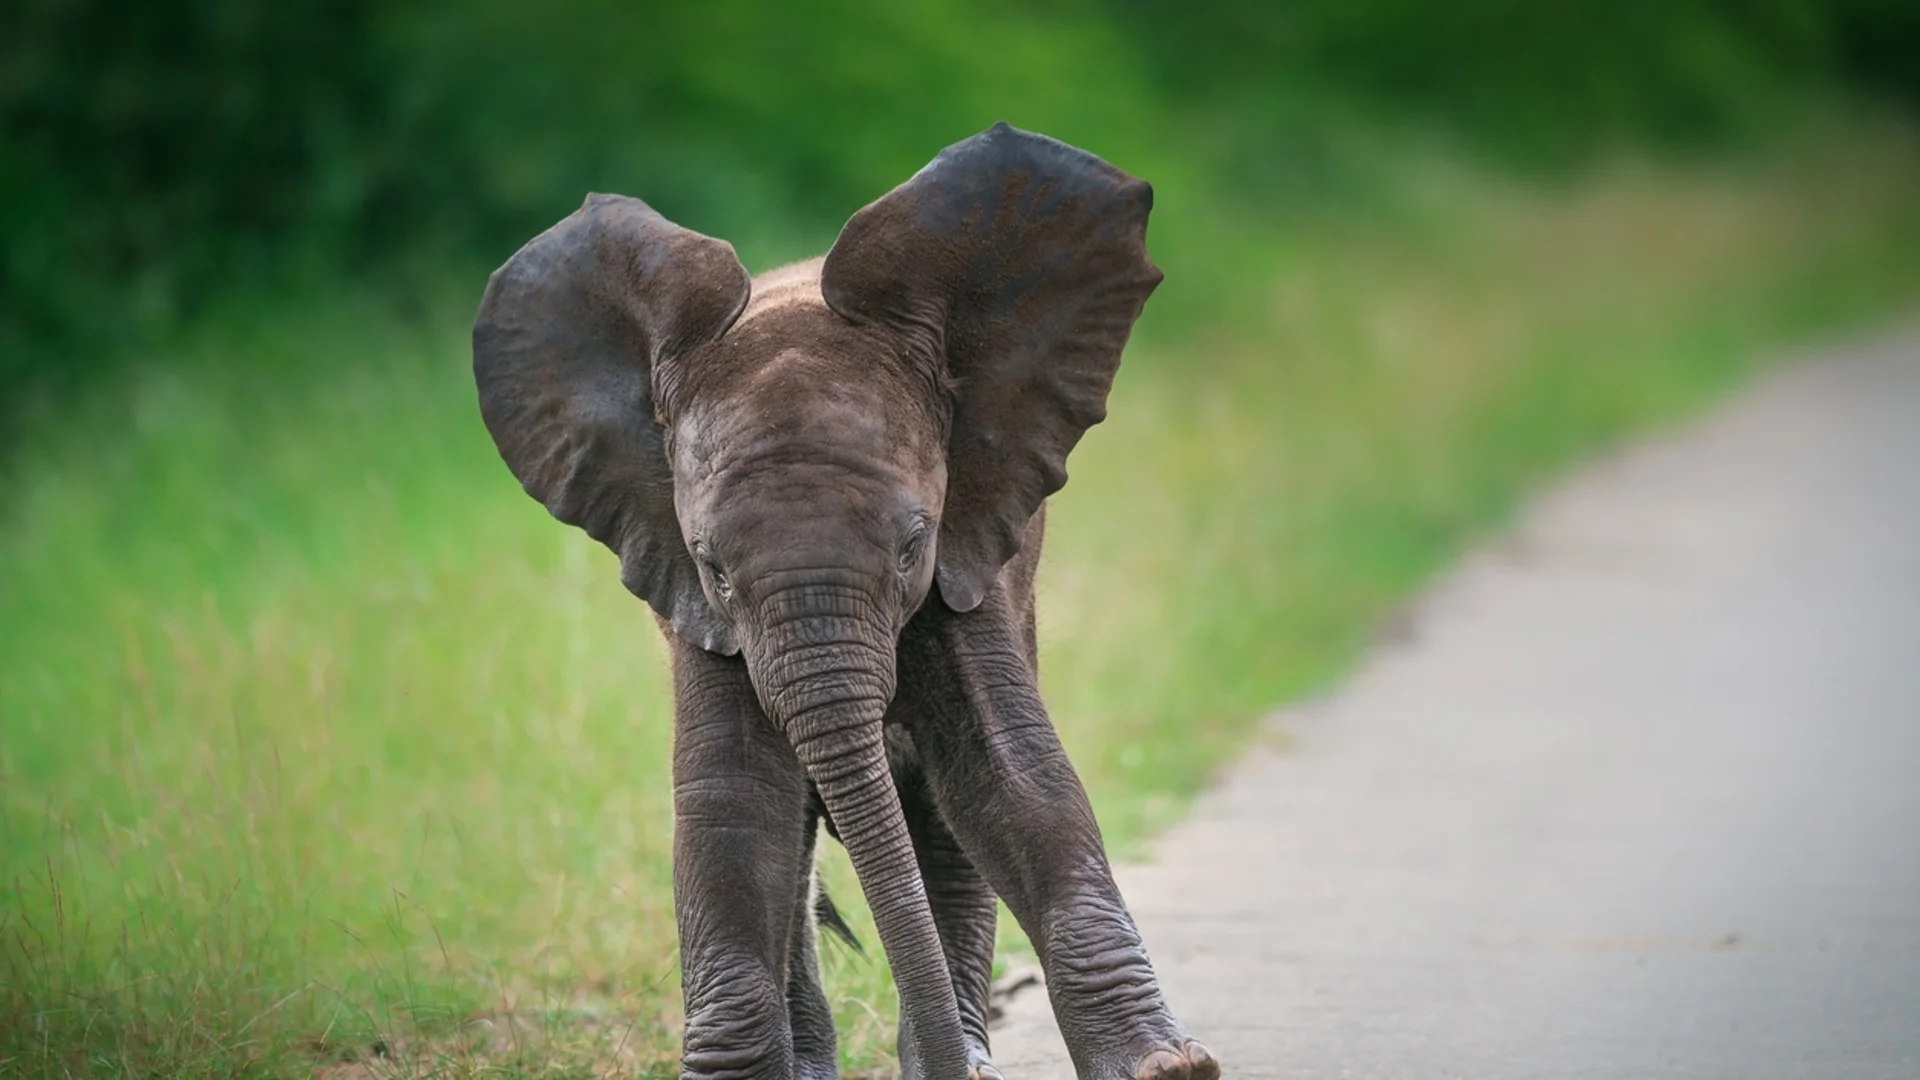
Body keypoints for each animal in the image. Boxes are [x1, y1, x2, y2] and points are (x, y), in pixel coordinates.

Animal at [472, 122, 1213, 1076]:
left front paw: (1168, 1068)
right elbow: (734, 803)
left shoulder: (968, 554)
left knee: (937, 818)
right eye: (713, 567)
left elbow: (1009, 773)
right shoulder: (685, 593)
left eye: (911, 548)